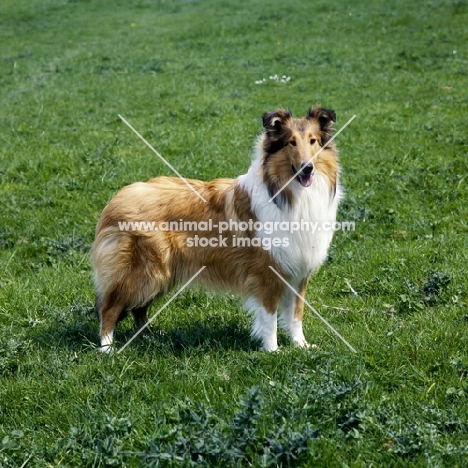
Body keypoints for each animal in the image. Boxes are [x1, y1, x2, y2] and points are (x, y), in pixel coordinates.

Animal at [90, 108, 340, 352]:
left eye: (313, 141)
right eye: (291, 142)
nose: (307, 168)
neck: (287, 194)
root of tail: (117, 198)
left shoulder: (298, 272)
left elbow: (296, 315)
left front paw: (301, 346)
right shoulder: (266, 274)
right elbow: (269, 319)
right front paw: (273, 351)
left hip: (161, 274)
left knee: (138, 308)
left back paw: (149, 336)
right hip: (142, 272)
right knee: (109, 307)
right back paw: (108, 348)